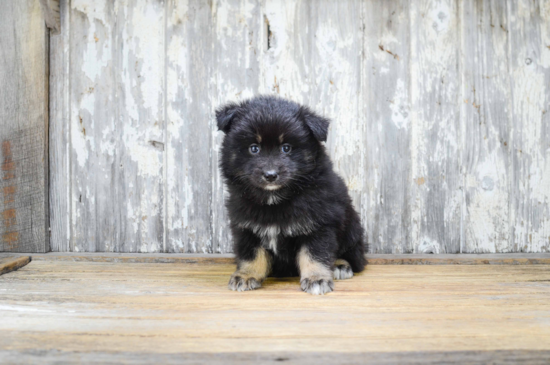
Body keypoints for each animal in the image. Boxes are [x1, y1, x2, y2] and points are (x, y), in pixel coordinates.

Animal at [216, 95, 366, 294]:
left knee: (355, 257)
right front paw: (247, 275)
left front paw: (317, 279)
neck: (274, 200)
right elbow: (251, 254)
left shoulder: (320, 224)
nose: (270, 175)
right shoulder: (246, 227)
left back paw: (340, 265)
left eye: (286, 148)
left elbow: (315, 254)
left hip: (352, 228)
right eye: (254, 148)